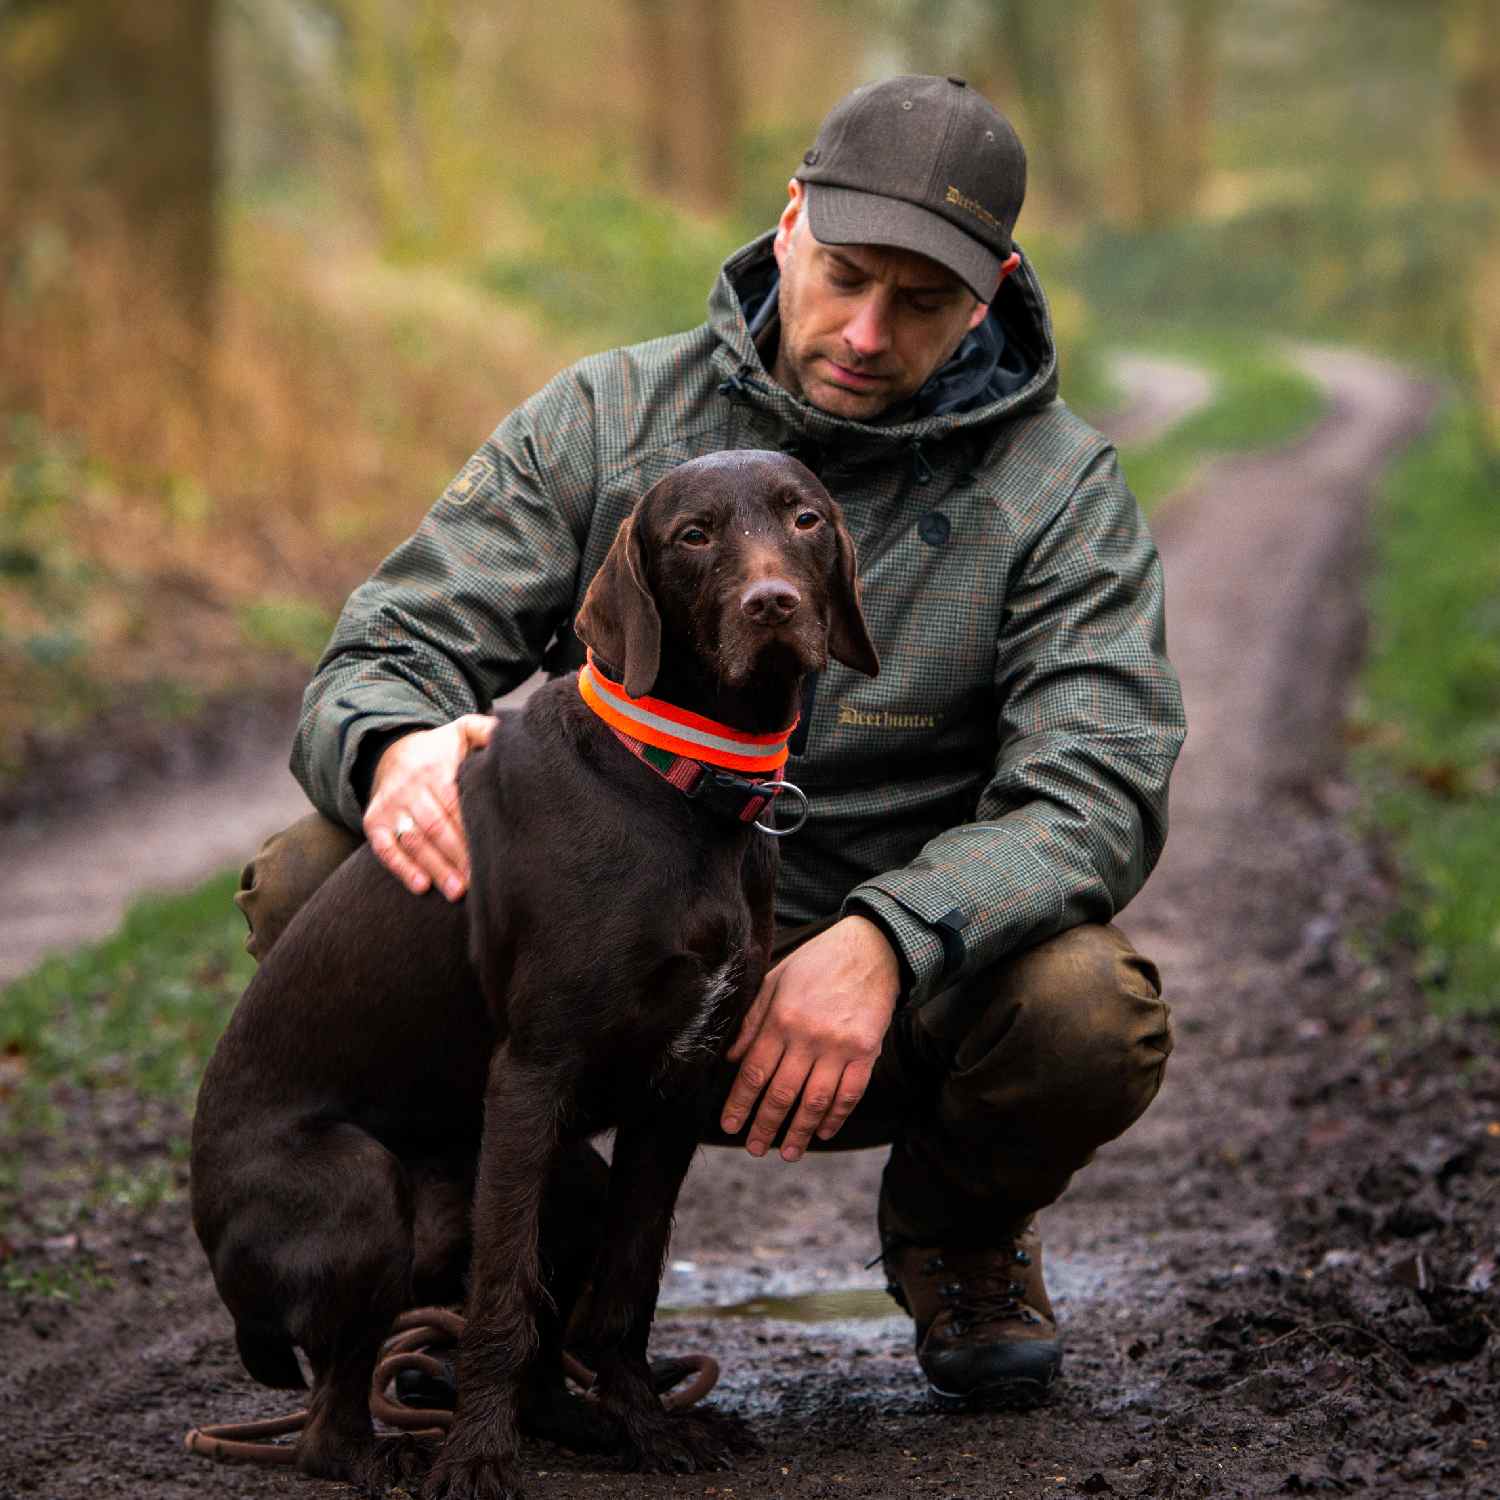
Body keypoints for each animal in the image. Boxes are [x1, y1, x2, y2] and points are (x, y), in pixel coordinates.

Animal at [195, 453, 882, 1500]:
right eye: (694, 535)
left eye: (804, 519)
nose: (773, 603)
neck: (677, 778)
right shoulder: (533, 1073)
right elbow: (501, 1303)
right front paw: (476, 1459)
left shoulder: (676, 1089)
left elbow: (627, 1291)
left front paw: (647, 1427)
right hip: (365, 1191)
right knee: (329, 1419)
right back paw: (393, 1452)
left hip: (568, 1186)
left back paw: (583, 1424)